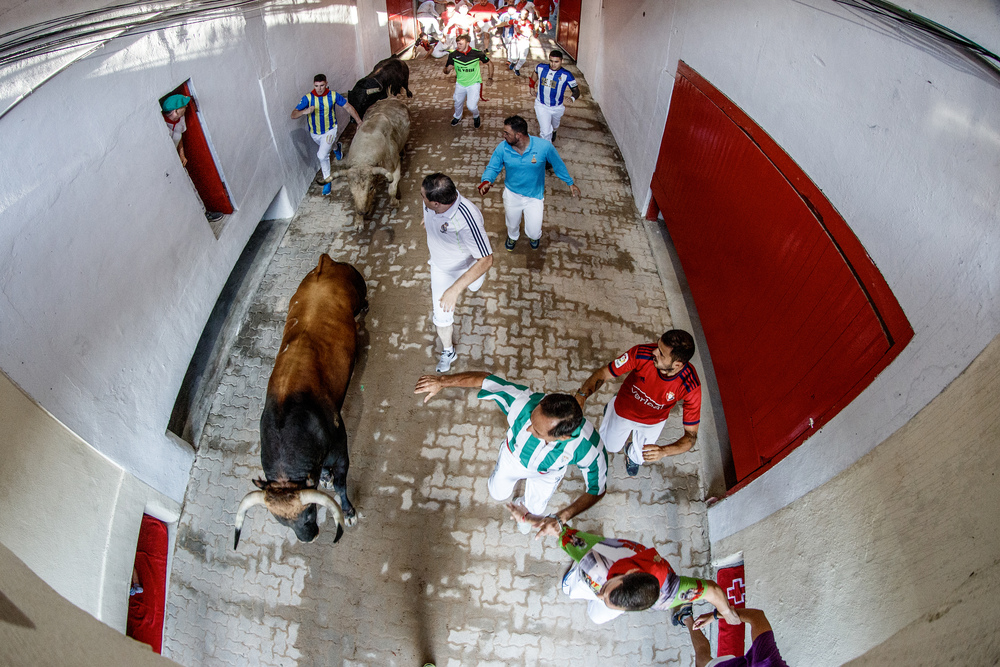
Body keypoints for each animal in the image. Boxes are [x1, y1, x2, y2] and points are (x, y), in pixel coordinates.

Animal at [234, 256, 368, 548]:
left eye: (309, 511)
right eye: (280, 521)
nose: (308, 538)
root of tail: (324, 264)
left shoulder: (341, 447)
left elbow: (341, 483)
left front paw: (349, 512)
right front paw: (326, 477)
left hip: (360, 290)